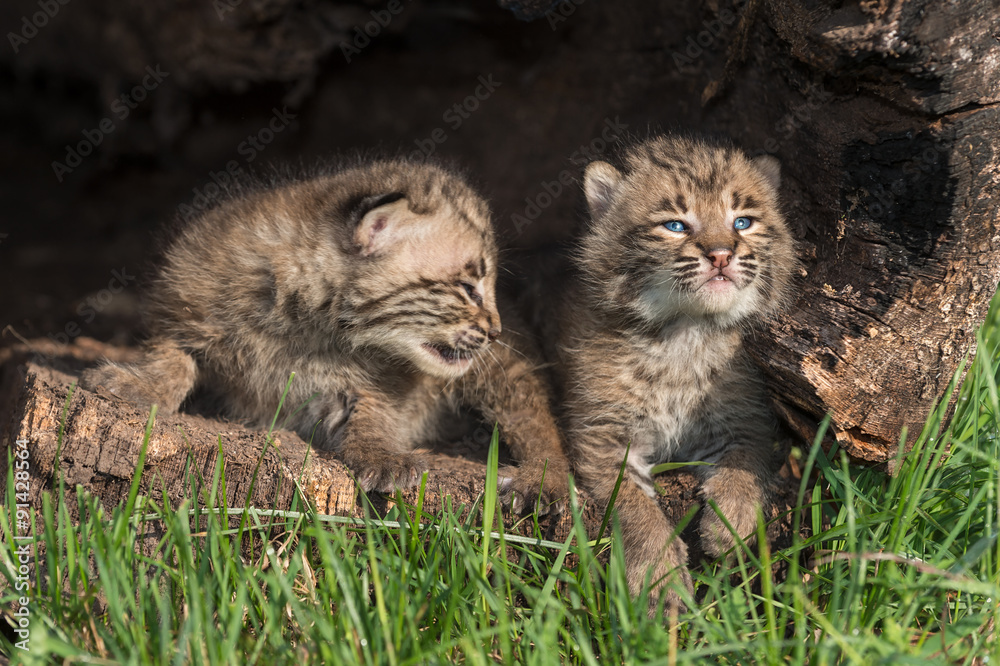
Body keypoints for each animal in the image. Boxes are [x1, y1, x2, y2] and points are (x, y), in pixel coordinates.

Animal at [82, 158, 572, 510]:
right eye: (469, 288)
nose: (495, 330)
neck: (305, 322)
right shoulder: (181, 309)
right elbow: (172, 357)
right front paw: (139, 384)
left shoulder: (377, 386)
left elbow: (375, 415)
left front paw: (381, 455)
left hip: (502, 371)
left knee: (537, 419)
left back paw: (543, 480)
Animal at [556, 135, 796, 608]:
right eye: (675, 226)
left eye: (742, 222)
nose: (722, 254)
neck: (684, 333)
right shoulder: (603, 436)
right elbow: (634, 504)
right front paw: (658, 575)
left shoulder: (745, 419)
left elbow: (744, 462)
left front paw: (731, 521)